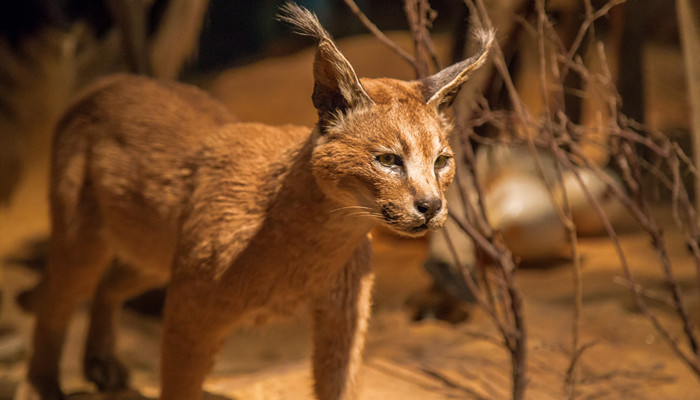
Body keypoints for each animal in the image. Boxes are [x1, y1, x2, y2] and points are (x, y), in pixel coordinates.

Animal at [21, 3, 492, 400]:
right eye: (388, 160)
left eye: (442, 161)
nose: (431, 206)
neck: (329, 228)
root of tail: (109, 81)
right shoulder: (192, 312)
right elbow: (179, 385)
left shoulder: (344, 316)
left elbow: (339, 384)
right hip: (84, 237)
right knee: (56, 301)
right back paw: (48, 385)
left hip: (155, 250)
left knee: (108, 283)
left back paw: (100, 363)